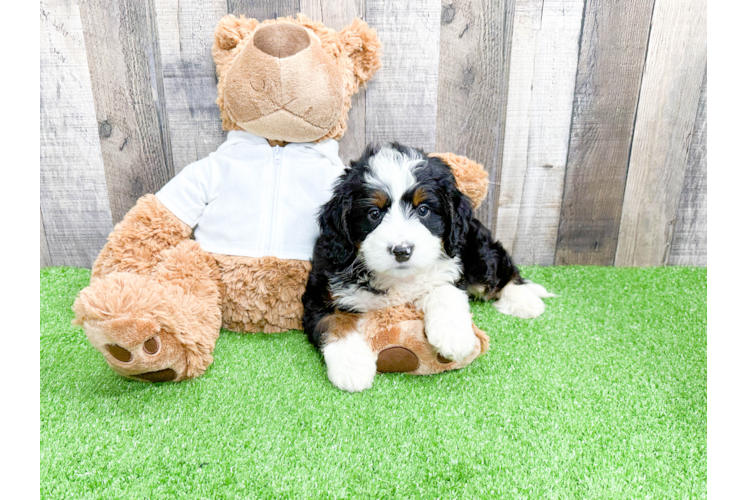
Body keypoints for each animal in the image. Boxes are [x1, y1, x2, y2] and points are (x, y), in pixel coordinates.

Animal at [300, 143, 552, 392]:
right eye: (374, 213)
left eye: (423, 210)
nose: (402, 251)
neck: (398, 279)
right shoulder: (322, 291)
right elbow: (335, 321)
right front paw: (352, 366)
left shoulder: (450, 266)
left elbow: (444, 289)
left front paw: (454, 334)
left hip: (476, 252)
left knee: (499, 270)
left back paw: (524, 300)